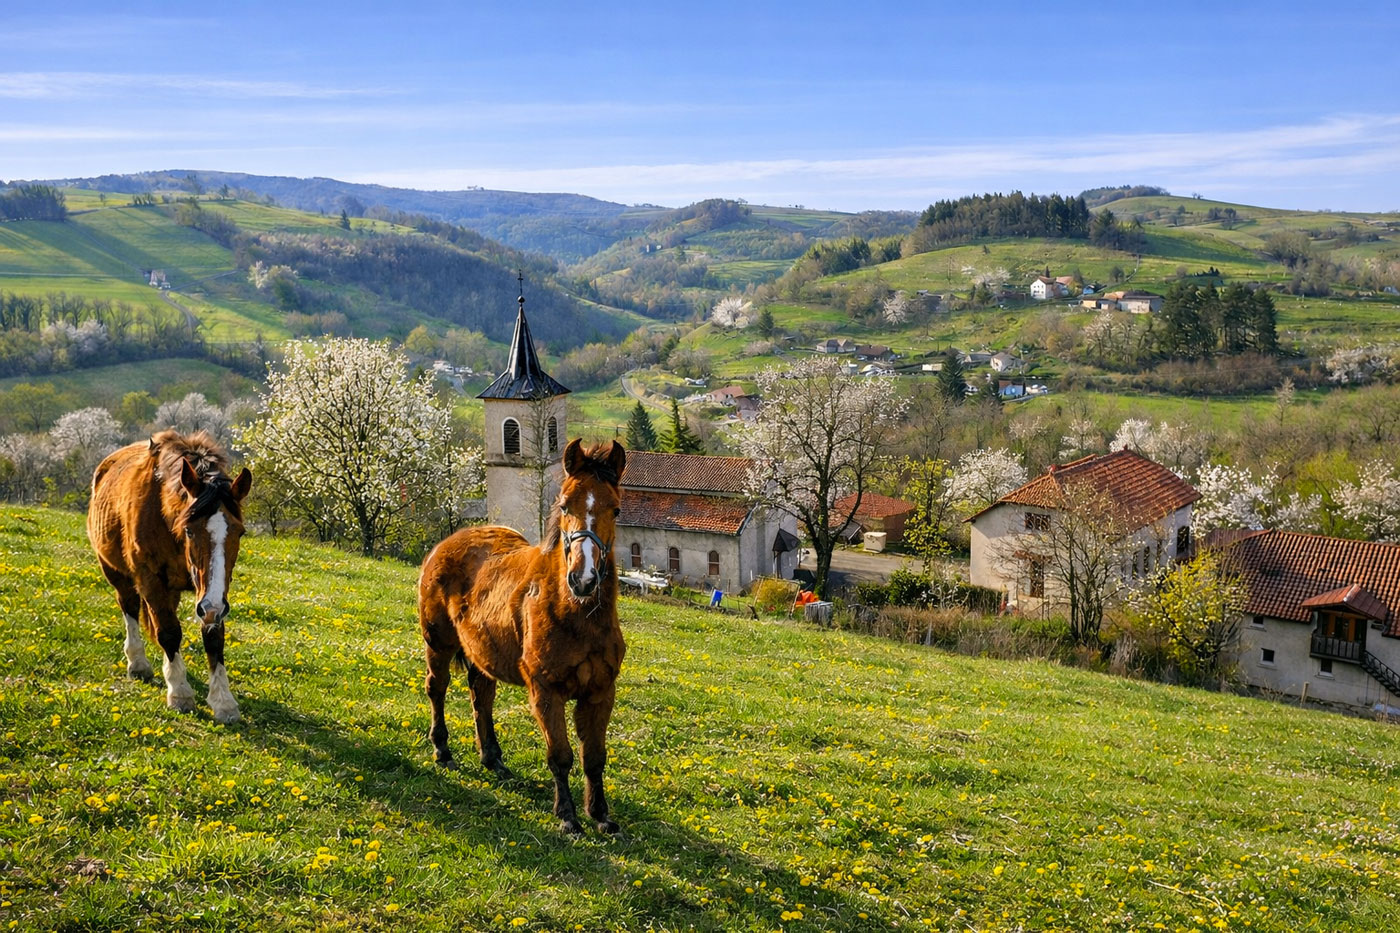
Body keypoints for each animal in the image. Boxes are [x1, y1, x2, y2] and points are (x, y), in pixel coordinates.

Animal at [87, 430, 252, 724]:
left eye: (239, 532)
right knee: (130, 607)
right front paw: (180, 693)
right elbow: (168, 631)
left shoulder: (213, 596)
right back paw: (138, 662)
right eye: (189, 530)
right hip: (115, 573)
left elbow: (213, 637)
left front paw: (223, 701)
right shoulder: (151, 581)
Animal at [419, 438, 627, 835]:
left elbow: (594, 757)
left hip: (481, 654)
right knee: (437, 689)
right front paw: (567, 816)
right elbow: (560, 756)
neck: (575, 615)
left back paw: (492, 759)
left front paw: (602, 816)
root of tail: (447, 543)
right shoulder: (546, 691)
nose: (583, 579)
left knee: (481, 697)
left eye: (616, 509)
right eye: (565, 504)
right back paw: (442, 750)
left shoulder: (600, 692)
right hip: (438, 644)